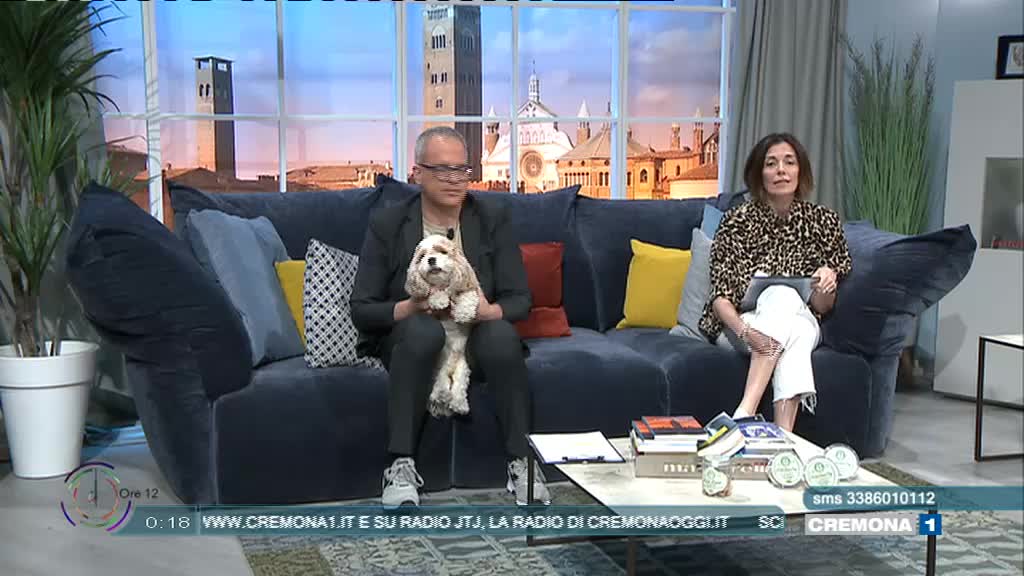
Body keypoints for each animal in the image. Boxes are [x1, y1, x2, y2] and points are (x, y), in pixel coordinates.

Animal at [405, 234, 480, 417]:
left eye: (443, 252)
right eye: (422, 257)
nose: (431, 259)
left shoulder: (469, 286)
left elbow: (468, 294)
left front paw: (463, 313)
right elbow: (434, 293)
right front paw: (439, 299)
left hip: (462, 364)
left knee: (459, 383)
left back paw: (459, 403)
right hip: (439, 360)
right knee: (440, 380)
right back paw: (442, 394)